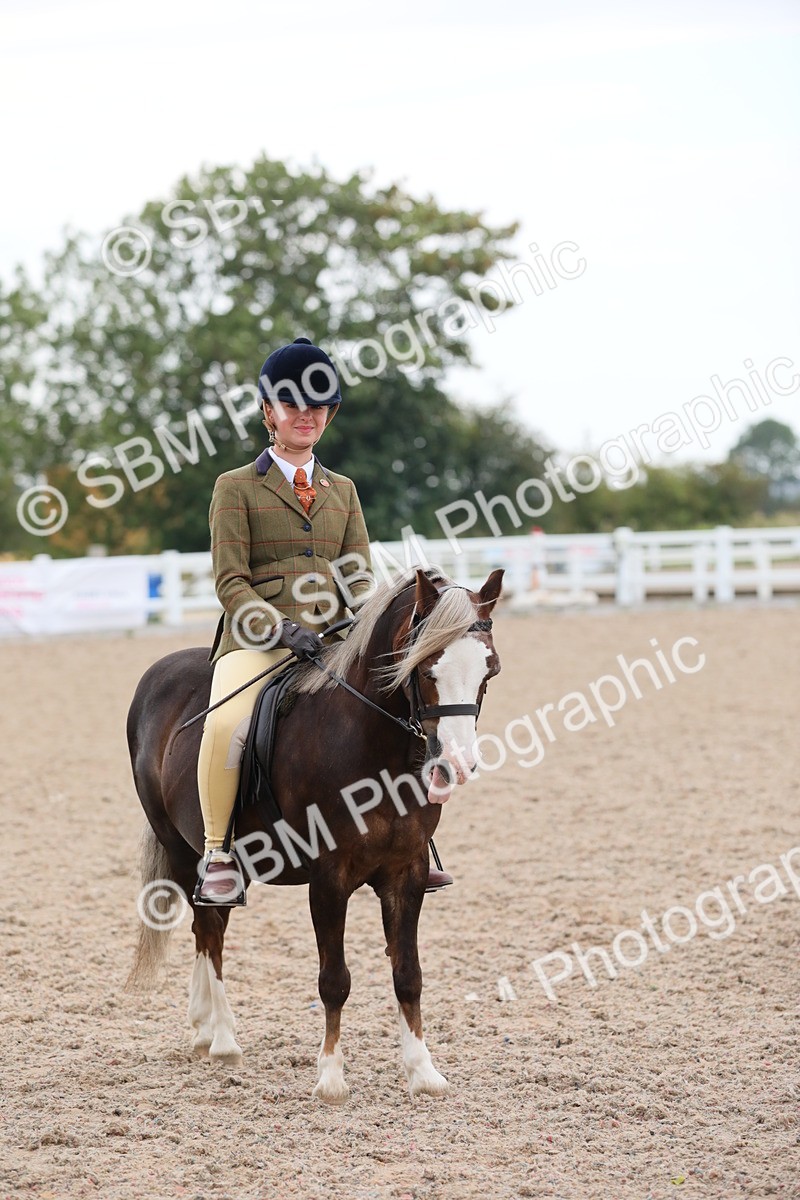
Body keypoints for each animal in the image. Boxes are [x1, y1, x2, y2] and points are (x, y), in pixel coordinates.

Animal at [126, 565, 503, 1103]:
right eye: (425, 668)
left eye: (489, 671)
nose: (455, 765)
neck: (370, 742)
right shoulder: (329, 877)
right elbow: (335, 979)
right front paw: (330, 1078)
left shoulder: (406, 873)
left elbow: (408, 974)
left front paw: (423, 1071)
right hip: (182, 849)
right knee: (209, 930)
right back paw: (222, 1039)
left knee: (209, 928)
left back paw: (202, 1028)